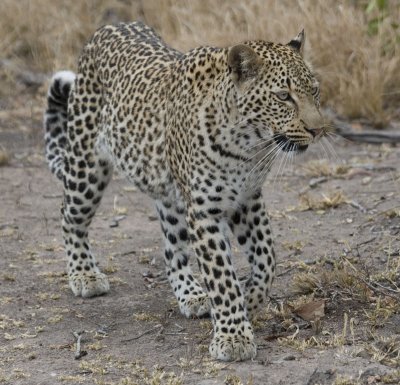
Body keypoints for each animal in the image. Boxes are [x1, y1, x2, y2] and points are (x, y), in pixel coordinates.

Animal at [44, 21, 324, 360]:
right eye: (283, 96)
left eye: (314, 91)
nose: (318, 130)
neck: (248, 145)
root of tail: (108, 27)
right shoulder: (205, 211)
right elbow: (222, 277)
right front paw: (233, 337)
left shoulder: (247, 199)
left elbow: (267, 256)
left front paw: (252, 299)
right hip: (87, 167)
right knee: (69, 216)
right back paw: (84, 274)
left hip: (170, 198)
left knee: (172, 250)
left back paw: (190, 294)